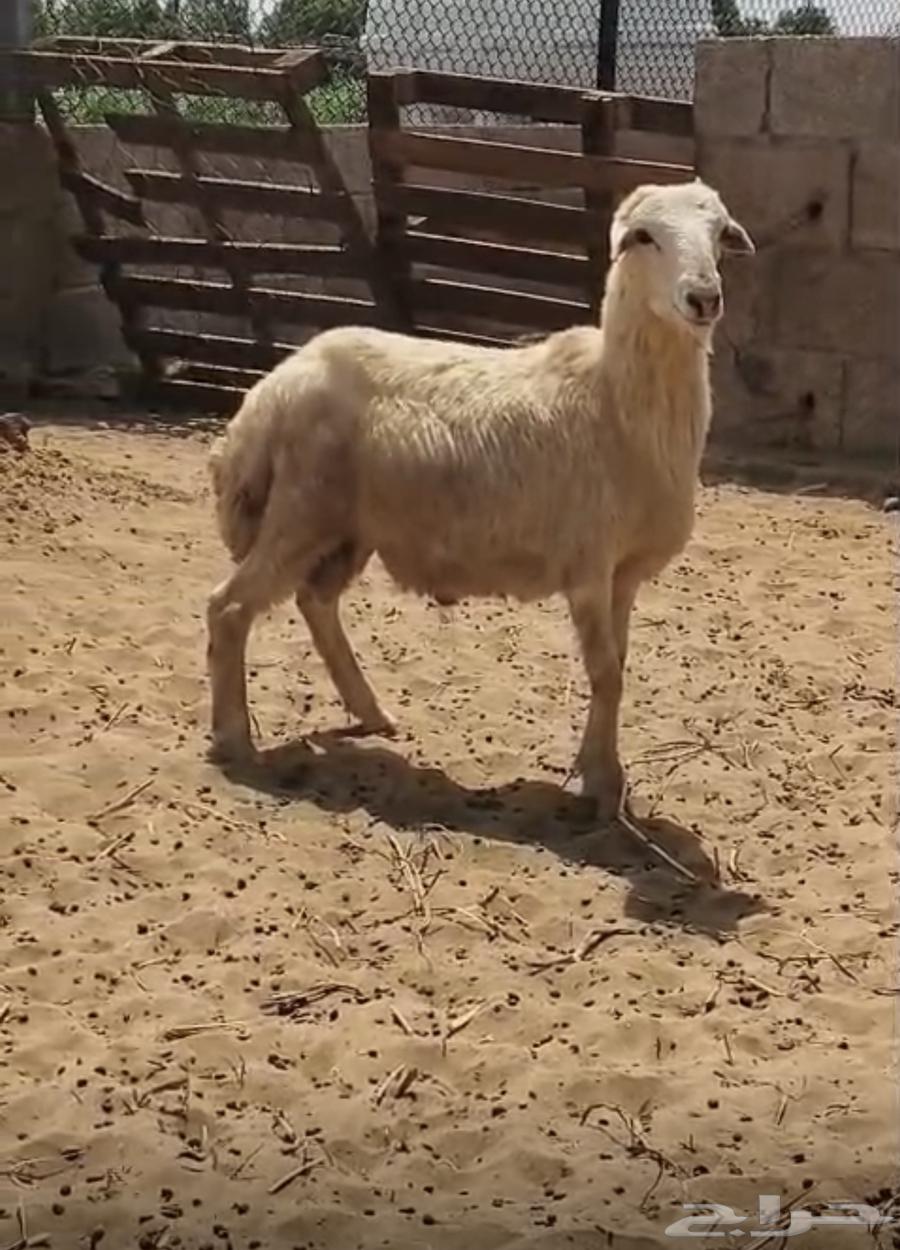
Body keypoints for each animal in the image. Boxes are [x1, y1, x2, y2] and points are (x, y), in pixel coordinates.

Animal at [205, 177, 754, 819]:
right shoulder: (588, 565)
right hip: (300, 511)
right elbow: (604, 673)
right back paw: (234, 737)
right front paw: (603, 785)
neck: (615, 401)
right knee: (229, 607)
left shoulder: (624, 573)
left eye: (720, 233)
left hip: (348, 527)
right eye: (643, 237)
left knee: (315, 602)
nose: (703, 297)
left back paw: (371, 711)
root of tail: (271, 389)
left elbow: (616, 669)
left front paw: (599, 771)